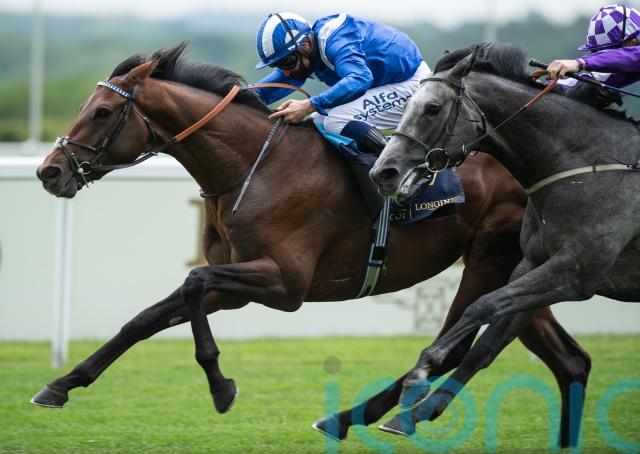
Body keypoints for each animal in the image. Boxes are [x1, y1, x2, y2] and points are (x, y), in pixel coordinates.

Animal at [33, 43, 589, 445]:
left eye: (103, 112)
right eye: (86, 106)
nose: (49, 171)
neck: (251, 166)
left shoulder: (284, 283)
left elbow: (193, 281)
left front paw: (221, 387)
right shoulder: (238, 284)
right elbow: (146, 318)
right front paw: (60, 385)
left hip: (489, 258)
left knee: (455, 344)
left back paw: (357, 417)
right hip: (521, 269)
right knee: (569, 359)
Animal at [370, 42, 637, 446]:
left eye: (432, 108)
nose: (383, 172)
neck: (587, 164)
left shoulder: (576, 272)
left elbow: (480, 308)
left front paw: (419, 376)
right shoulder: (534, 265)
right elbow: (488, 344)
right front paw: (413, 413)